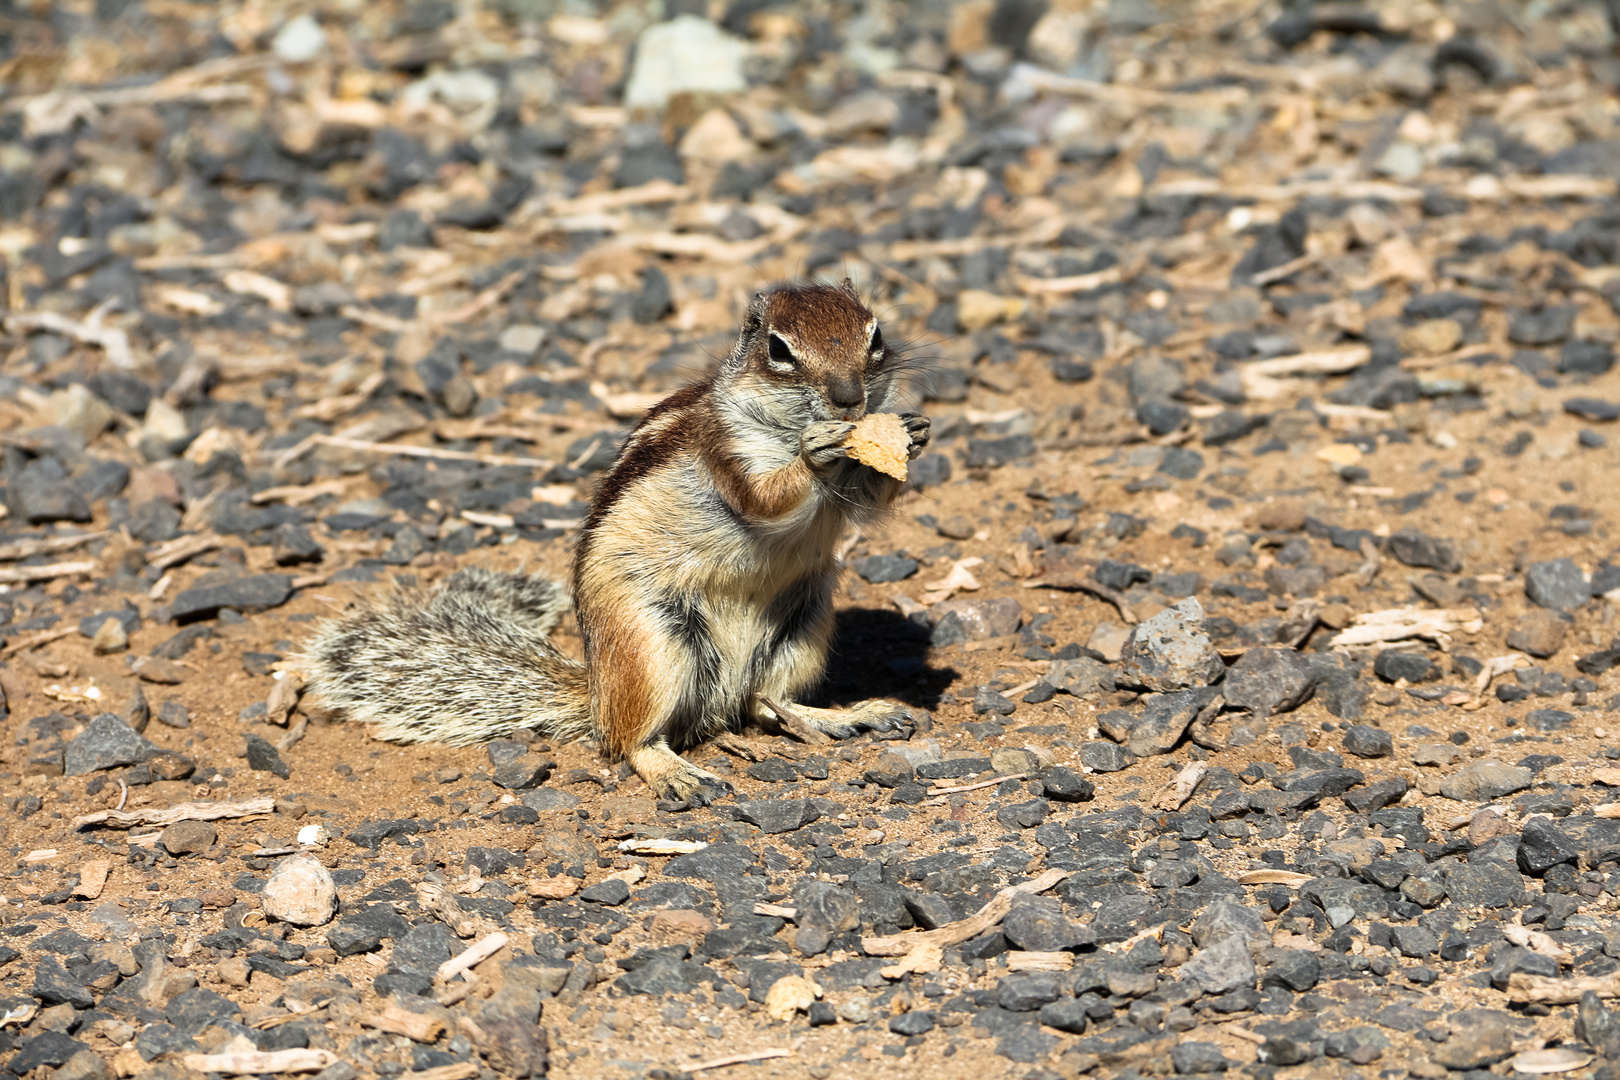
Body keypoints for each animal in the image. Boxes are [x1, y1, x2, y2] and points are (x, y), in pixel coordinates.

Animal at [307, 283, 933, 806]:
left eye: (876, 336)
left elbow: (871, 497)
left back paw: (846, 716)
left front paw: (914, 434)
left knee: (763, 703)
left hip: (804, 627)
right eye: (779, 349)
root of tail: (595, 693)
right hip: (650, 645)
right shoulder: (725, 448)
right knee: (631, 740)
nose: (850, 400)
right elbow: (763, 498)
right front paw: (815, 451)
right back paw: (675, 772)